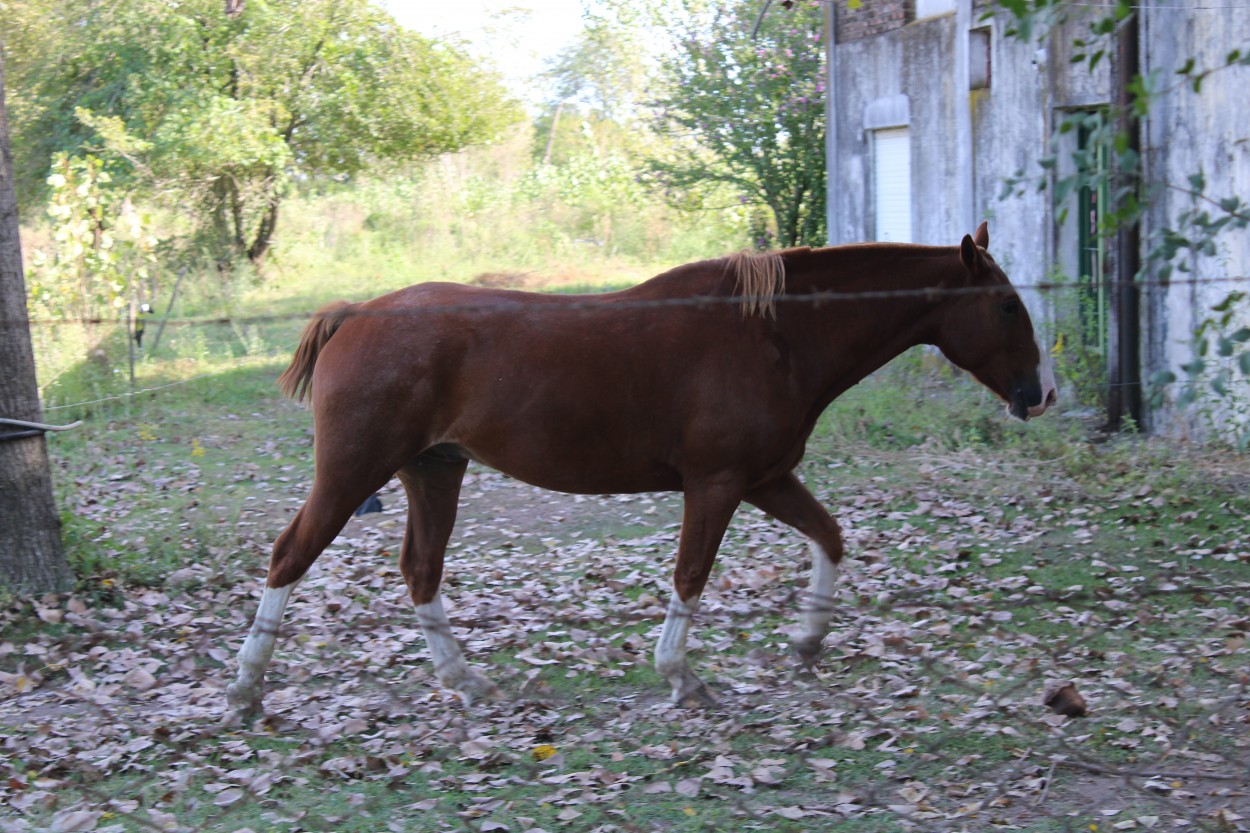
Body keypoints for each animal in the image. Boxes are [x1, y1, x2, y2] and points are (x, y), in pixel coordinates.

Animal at [227, 223, 1055, 710]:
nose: (1041, 394)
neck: (775, 334)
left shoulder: (766, 479)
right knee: (289, 557)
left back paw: (467, 679)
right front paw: (681, 674)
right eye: (1007, 306)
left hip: (435, 472)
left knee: (420, 572)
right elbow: (691, 575)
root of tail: (357, 313)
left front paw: (807, 641)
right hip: (352, 473)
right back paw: (245, 687)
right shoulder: (717, 485)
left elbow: (830, 536)